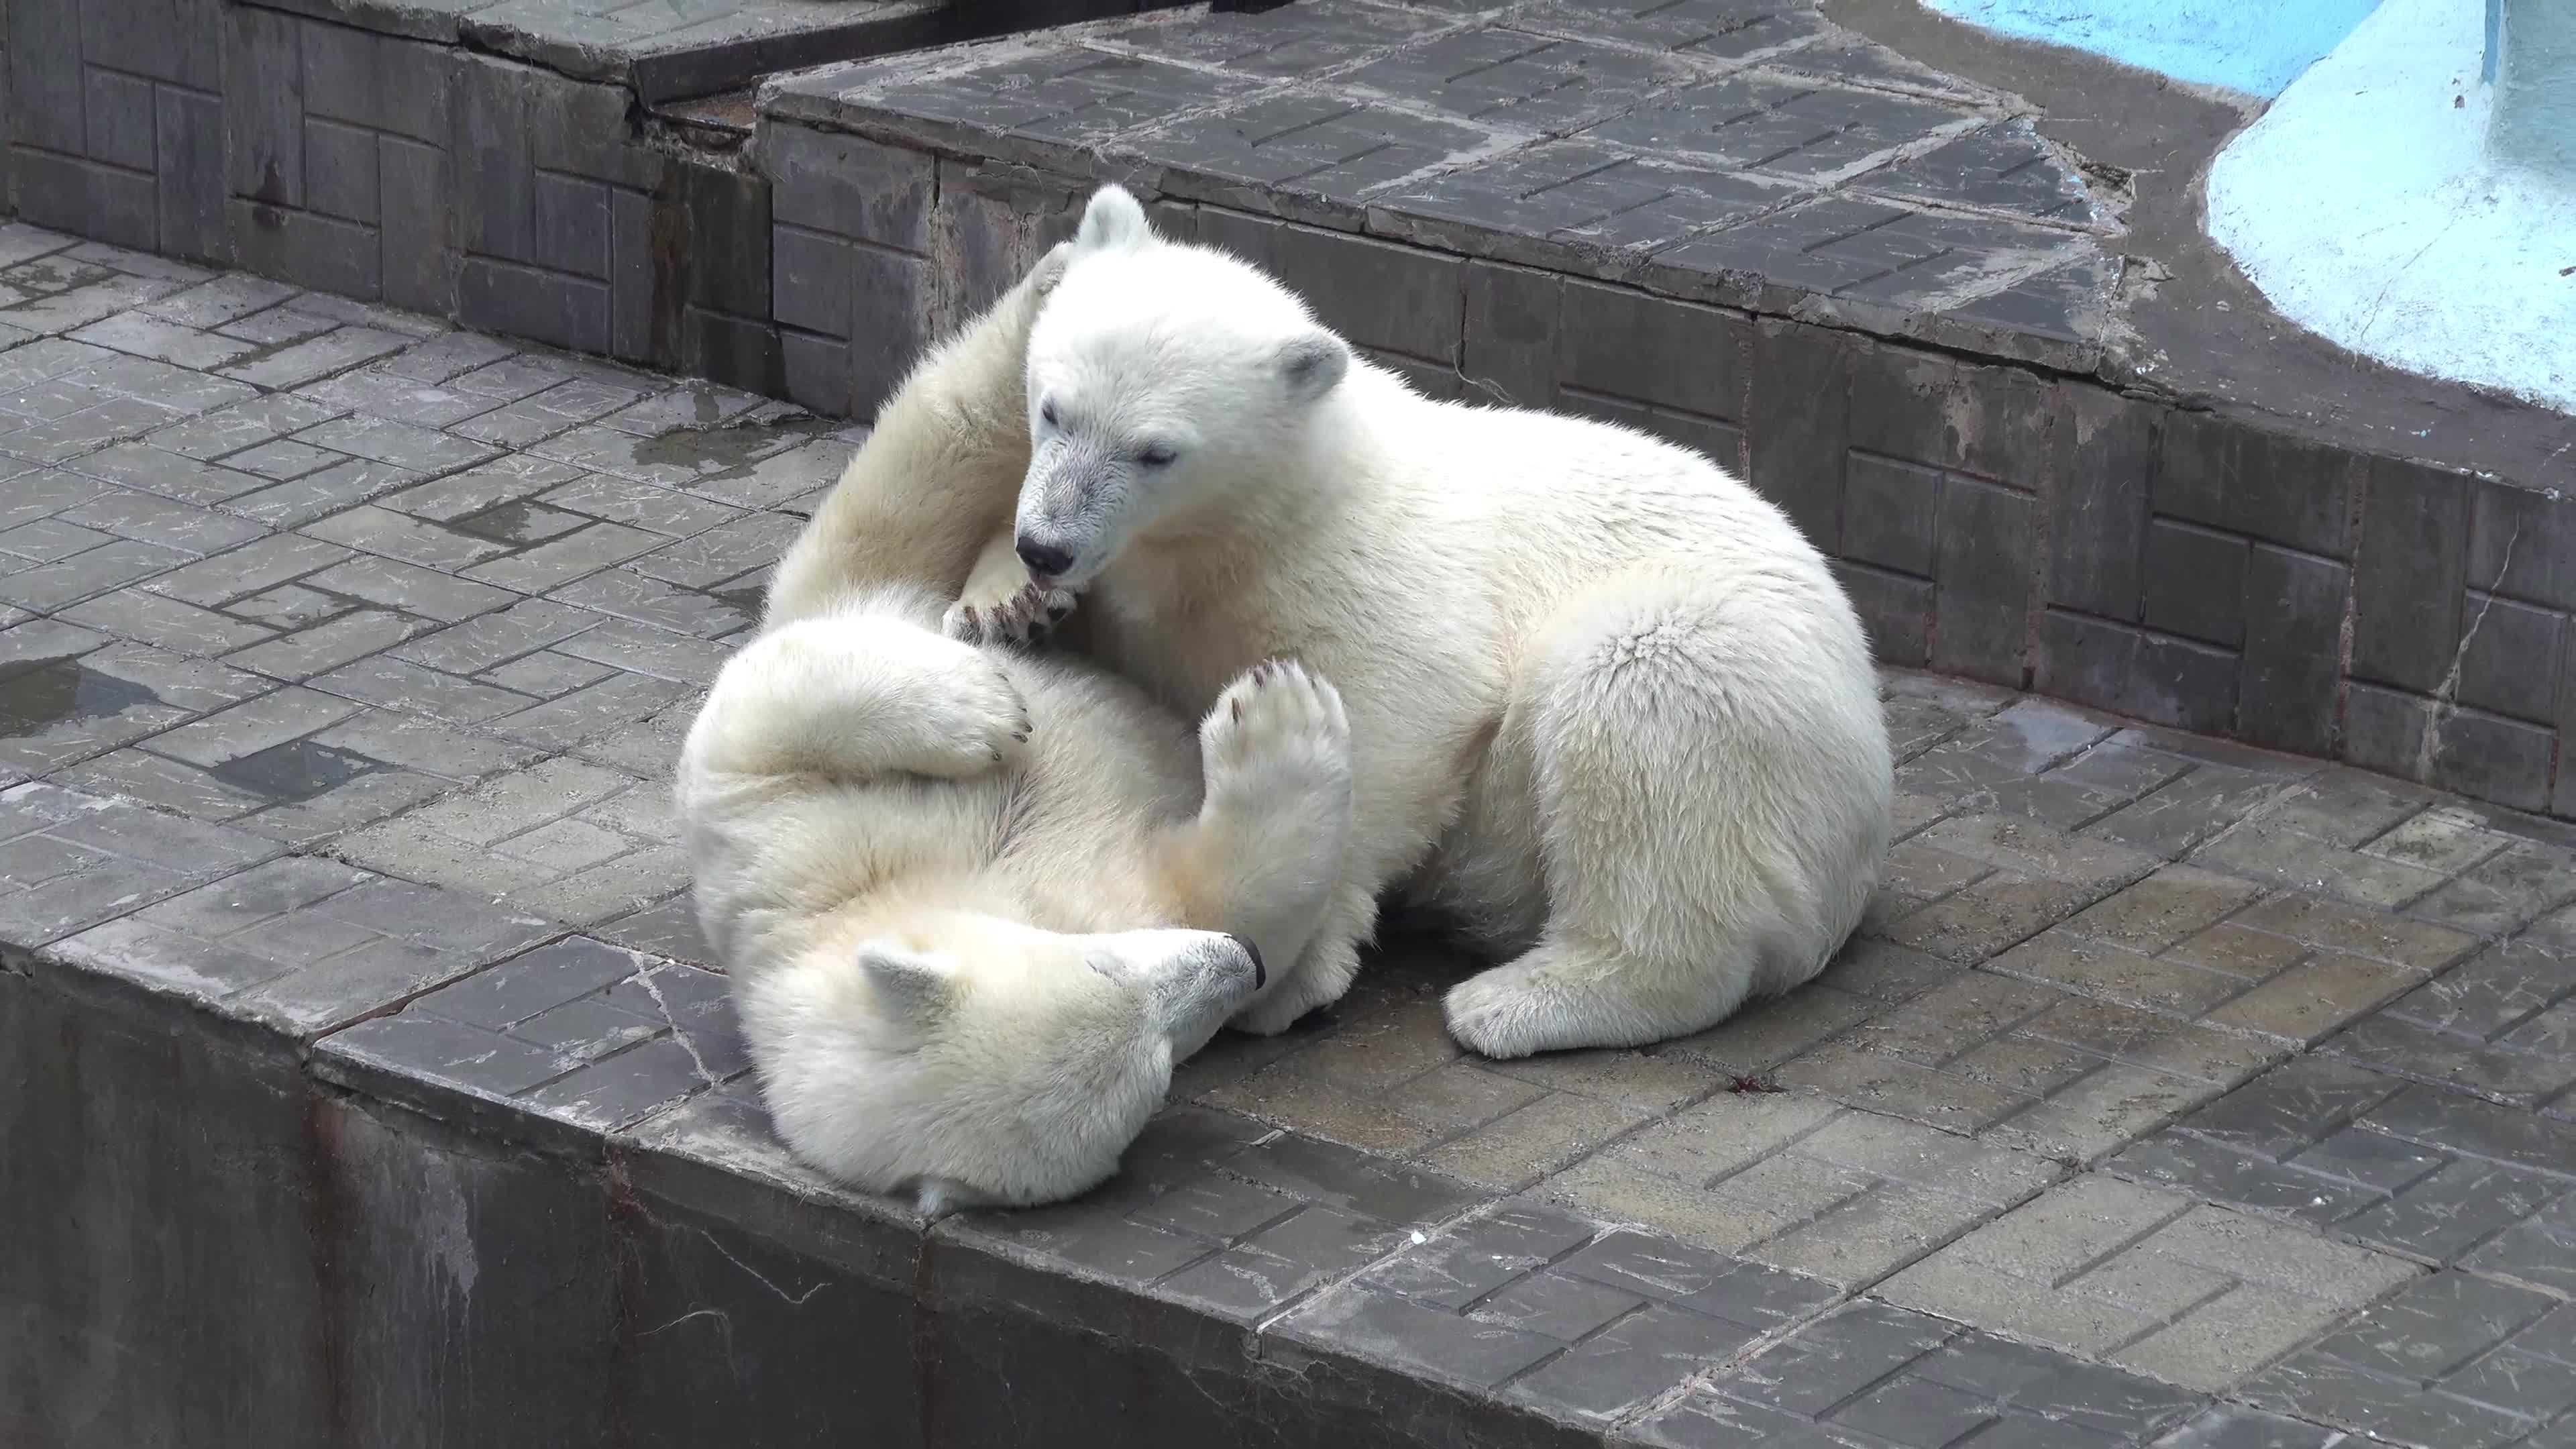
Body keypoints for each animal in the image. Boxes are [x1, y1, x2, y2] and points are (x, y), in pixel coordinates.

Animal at [685, 251, 1370, 1206]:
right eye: (1160, 1065)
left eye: (1098, 962)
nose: (1238, 967)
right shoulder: (1119, 893)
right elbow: (1228, 890)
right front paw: (1279, 717)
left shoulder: (783, 828)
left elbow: (754, 711)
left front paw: (981, 709)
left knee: (908, 484)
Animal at [948, 185, 1896, 1057]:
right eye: (1053, 408)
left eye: (1157, 452)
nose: (1049, 547)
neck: (1266, 519)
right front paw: (1006, 604)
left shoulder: (1367, 578)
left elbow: (1400, 720)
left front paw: (1296, 969)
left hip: (1743, 693)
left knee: (1642, 706)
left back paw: (1518, 1002)